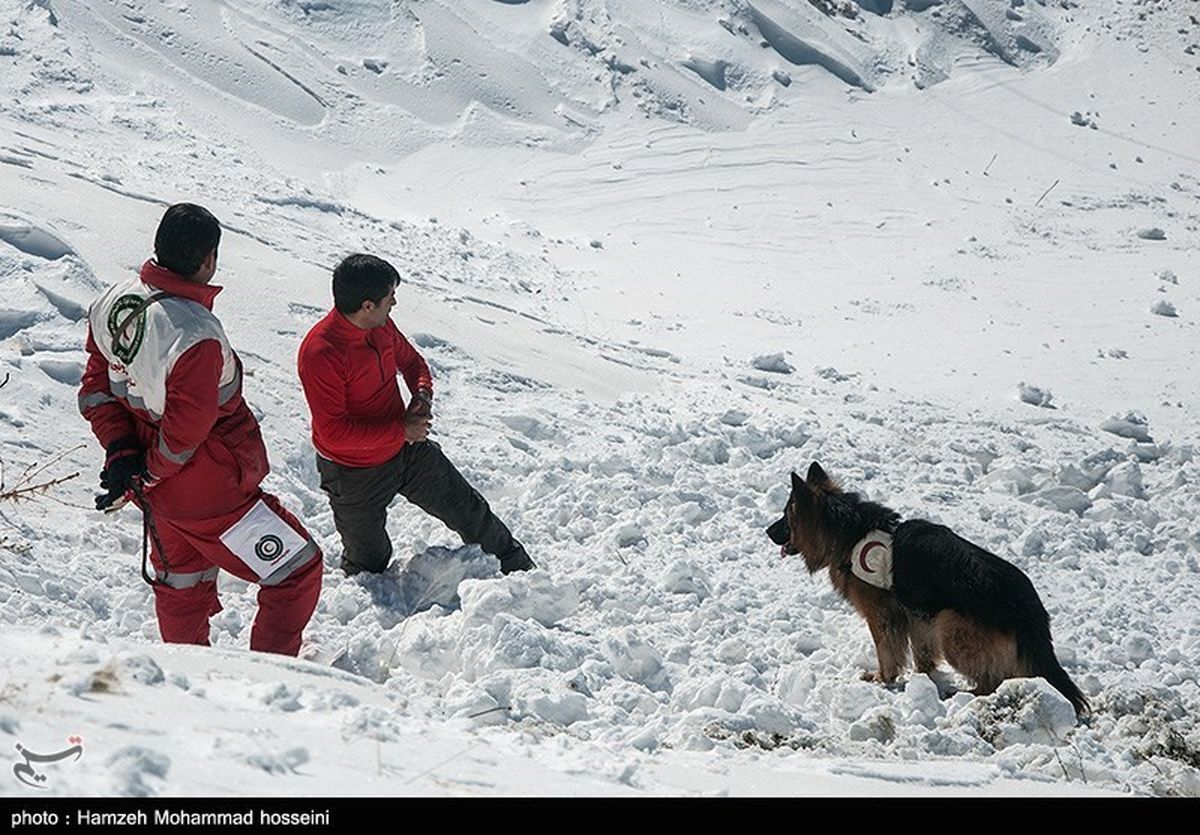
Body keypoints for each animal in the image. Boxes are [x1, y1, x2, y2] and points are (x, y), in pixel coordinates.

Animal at [768, 460, 1089, 715]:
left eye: (786, 515)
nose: (767, 531)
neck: (846, 529)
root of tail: (1028, 606)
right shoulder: (918, 616)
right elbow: (921, 653)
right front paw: (924, 677)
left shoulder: (884, 615)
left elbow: (887, 651)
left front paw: (883, 679)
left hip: (951, 626)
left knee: (992, 680)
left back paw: (965, 694)